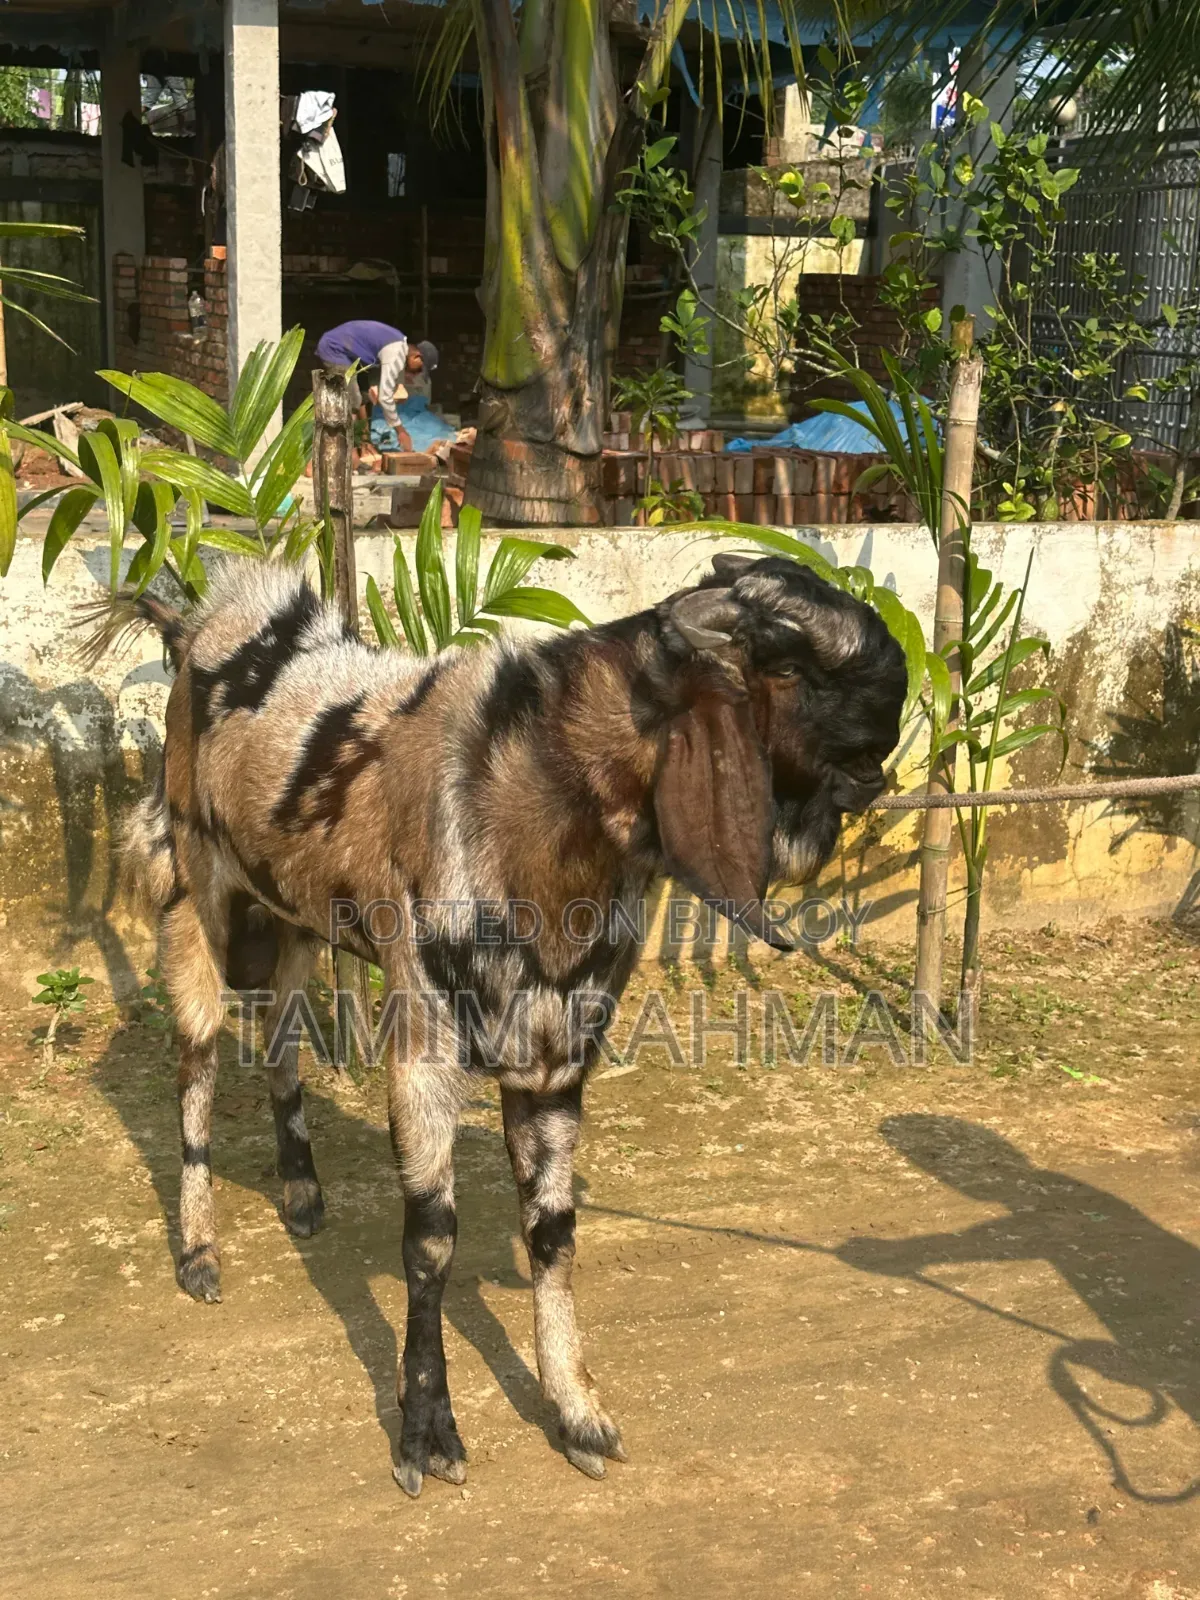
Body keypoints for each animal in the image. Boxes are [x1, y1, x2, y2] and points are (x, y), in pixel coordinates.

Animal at [95, 551, 906, 1496]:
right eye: (800, 665)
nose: (884, 759)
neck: (536, 808)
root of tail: (200, 620)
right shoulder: (424, 1050)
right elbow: (431, 1243)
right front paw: (426, 1434)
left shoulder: (556, 1057)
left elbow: (553, 1236)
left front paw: (578, 1415)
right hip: (198, 895)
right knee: (196, 1064)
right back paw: (198, 1253)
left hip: (293, 917)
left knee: (282, 1036)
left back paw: (301, 1193)